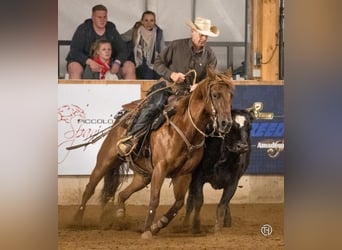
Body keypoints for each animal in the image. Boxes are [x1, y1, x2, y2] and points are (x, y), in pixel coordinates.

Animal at [74, 67, 235, 239]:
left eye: (230, 95)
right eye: (215, 95)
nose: (226, 123)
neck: (185, 128)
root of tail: (124, 115)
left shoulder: (184, 174)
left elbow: (178, 203)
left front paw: (157, 225)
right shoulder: (160, 168)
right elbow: (154, 199)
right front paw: (147, 231)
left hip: (143, 176)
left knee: (122, 194)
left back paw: (120, 216)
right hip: (106, 160)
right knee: (90, 188)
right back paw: (76, 220)